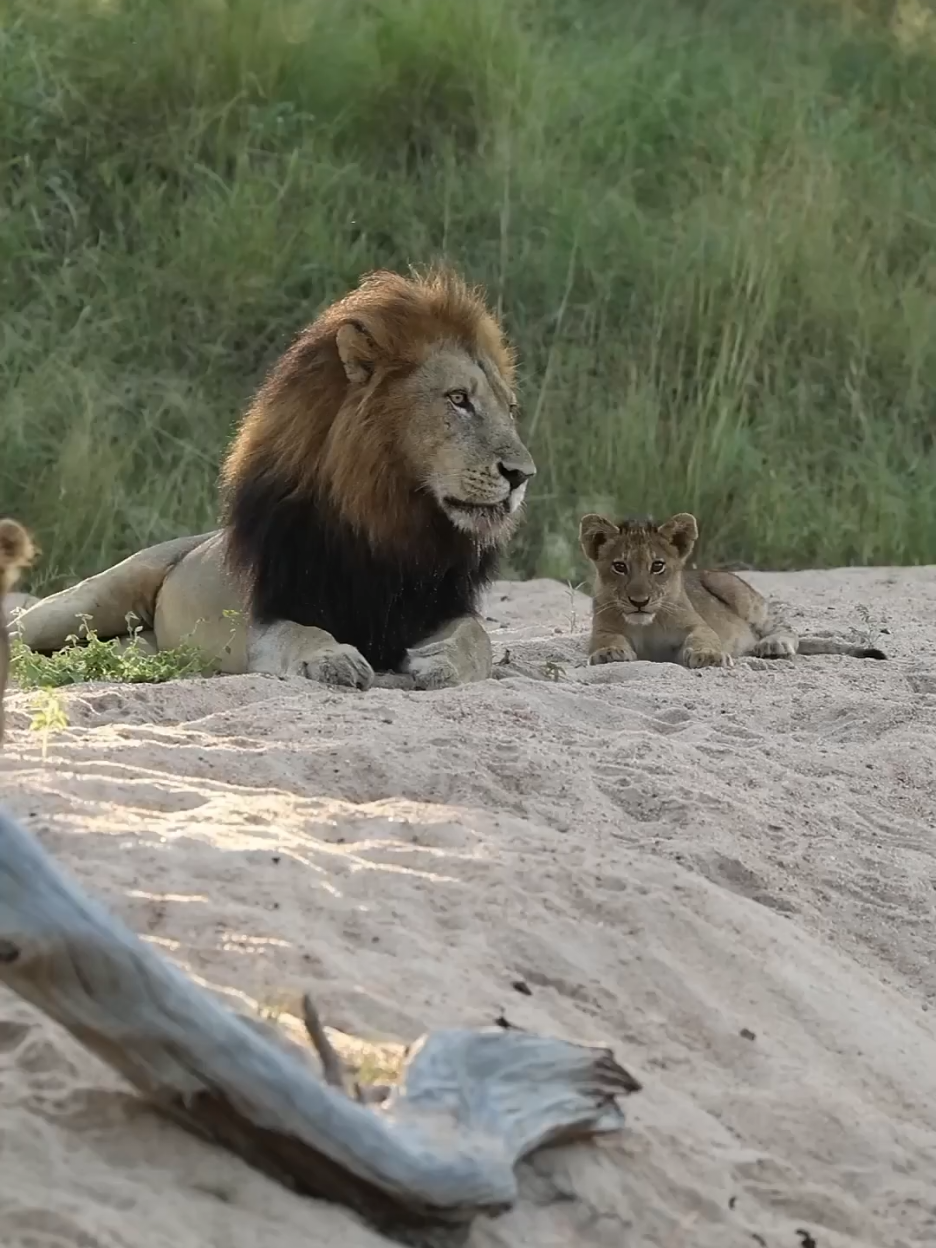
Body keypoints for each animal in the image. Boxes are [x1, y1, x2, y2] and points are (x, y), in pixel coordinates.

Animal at [14, 268, 539, 693]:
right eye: (458, 399)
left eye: (510, 408)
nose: (522, 476)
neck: (389, 520)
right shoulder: (265, 614)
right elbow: (302, 633)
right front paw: (333, 659)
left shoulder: (441, 606)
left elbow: (478, 638)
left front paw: (440, 664)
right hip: (88, 600)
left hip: (142, 644)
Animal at [584, 511, 888, 673]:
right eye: (620, 566)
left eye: (657, 566)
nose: (639, 601)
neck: (647, 624)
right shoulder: (602, 629)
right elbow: (606, 640)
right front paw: (610, 653)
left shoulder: (698, 625)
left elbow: (704, 638)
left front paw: (709, 656)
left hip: (734, 590)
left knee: (785, 627)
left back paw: (772, 645)